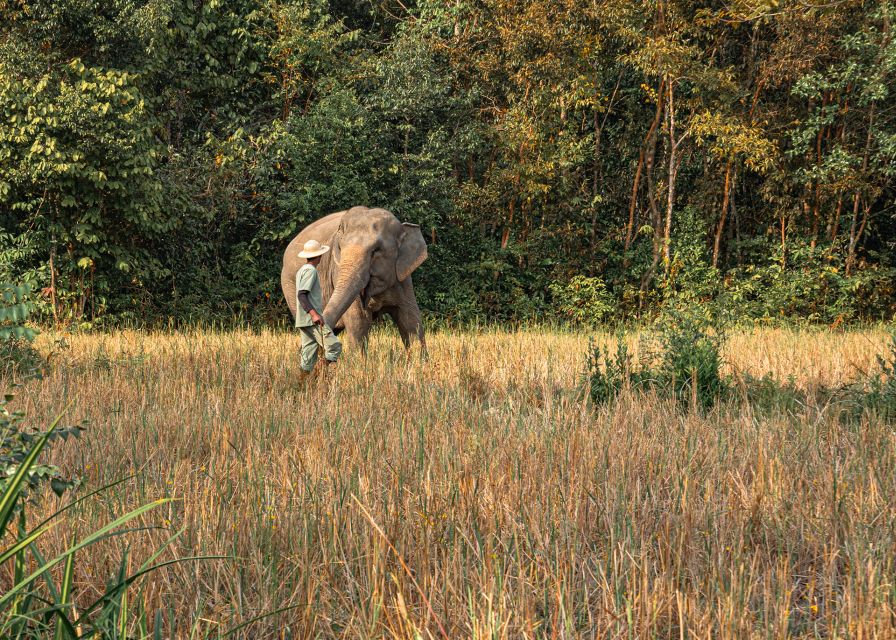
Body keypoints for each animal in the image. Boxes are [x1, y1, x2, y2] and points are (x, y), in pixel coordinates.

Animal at [284, 206, 430, 350]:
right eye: (340, 247)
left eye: (376, 250)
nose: (318, 321)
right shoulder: (337, 269)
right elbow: (358, 322)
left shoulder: (401, 277)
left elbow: (410, 320)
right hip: (291, 289)